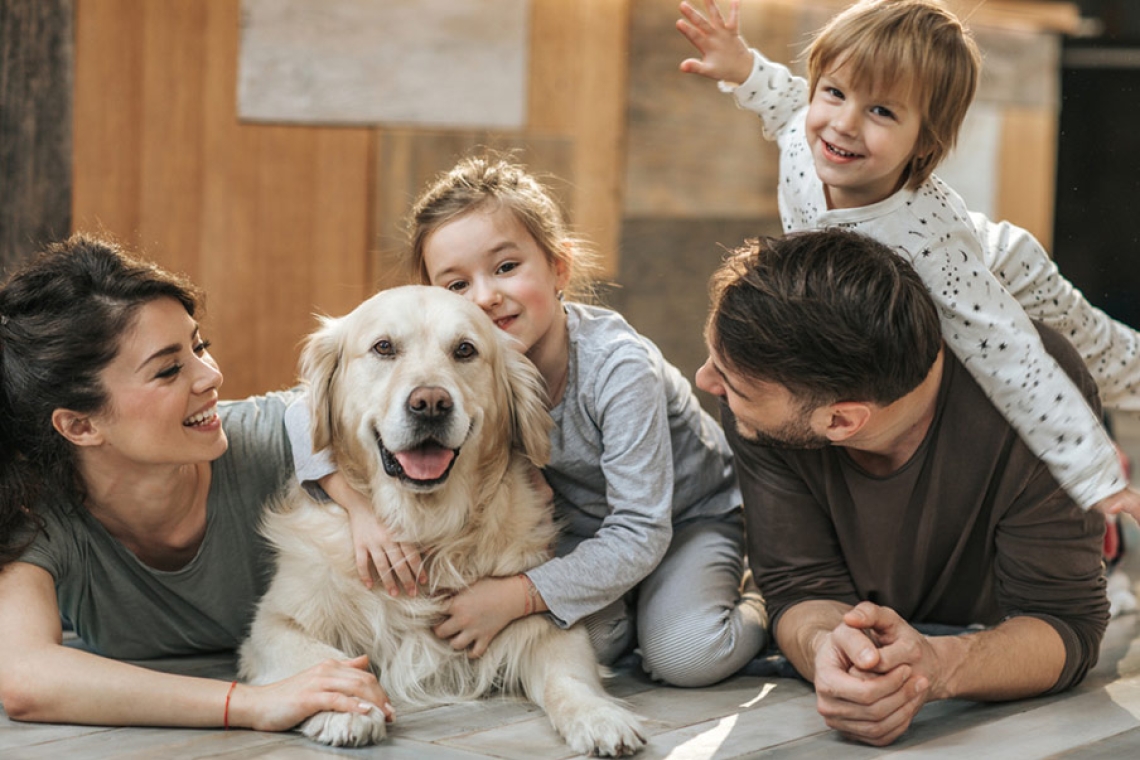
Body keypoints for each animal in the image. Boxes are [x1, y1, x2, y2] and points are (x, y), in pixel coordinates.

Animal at [235, 284, 647, 756]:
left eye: (464, 349)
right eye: (383, 347)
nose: (430, 403)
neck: (426, 529)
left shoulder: (547, 622)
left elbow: (569, 676)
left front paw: (600, 717)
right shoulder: (273, 623)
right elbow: (322, 657)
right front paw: (345, 706)